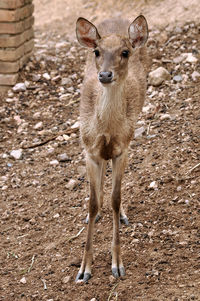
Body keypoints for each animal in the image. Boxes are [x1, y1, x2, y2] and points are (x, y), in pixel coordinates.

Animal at [76, 14, 149, 282]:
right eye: (97, 51)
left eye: (125, 52)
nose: (105, 75)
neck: (106, 130)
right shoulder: (88, 150)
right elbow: (92, 202)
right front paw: (84, 269)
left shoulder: (122, 149)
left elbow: (115, 199)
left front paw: (117, 265)